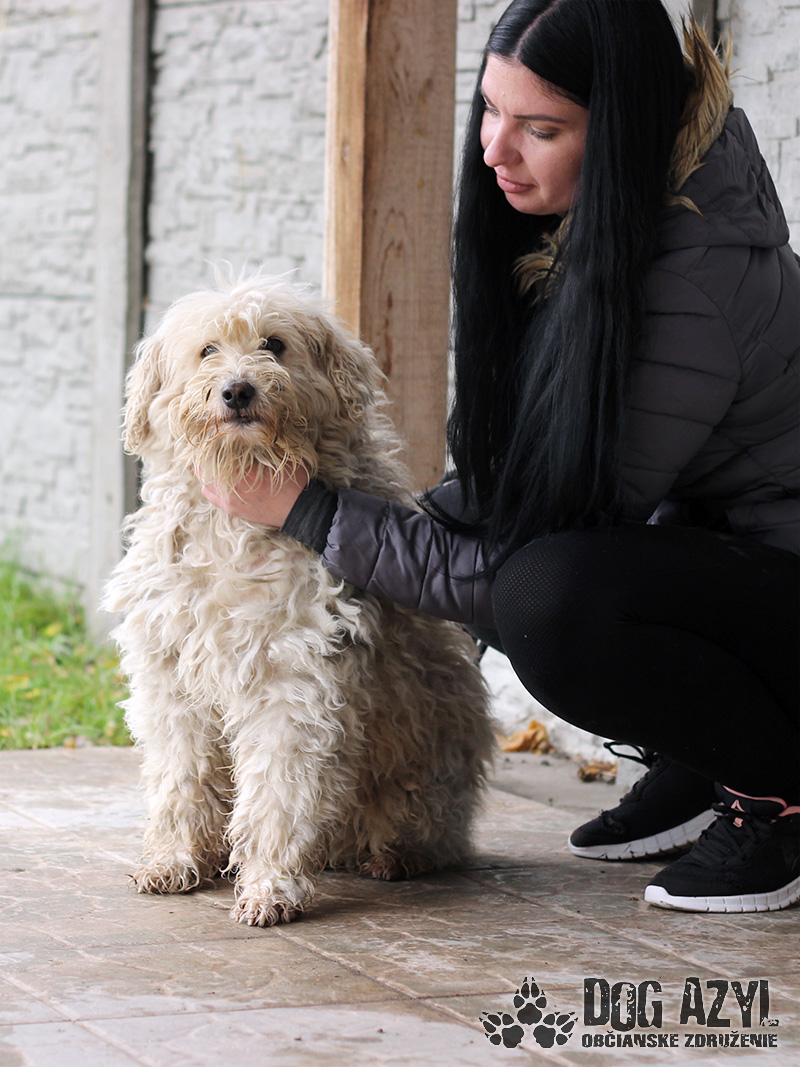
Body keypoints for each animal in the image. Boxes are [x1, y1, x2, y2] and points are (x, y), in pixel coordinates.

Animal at [103, 273, 496, 926]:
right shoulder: (173, 680)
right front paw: (176, 860)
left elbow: (280, 791)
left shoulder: (297, 680)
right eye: (208, 350)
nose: (238, 390)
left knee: (426, 829)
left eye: (274, 344)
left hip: (428, 765)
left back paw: (396, 856)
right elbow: (181, 776)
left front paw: (269, 887)